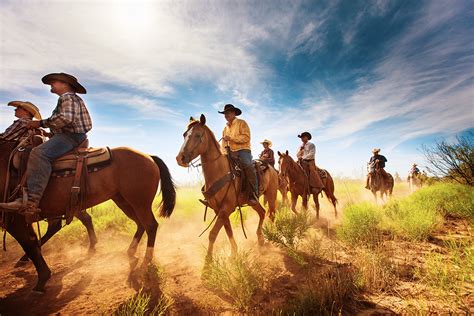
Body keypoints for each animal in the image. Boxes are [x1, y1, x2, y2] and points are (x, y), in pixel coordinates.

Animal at [0, 139, 175, 292]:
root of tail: (148, 156)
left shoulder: (14, 220)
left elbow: (29, 244)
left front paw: (42, 279)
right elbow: (32, 243)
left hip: (139, 203)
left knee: (151, 225)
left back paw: (146, 261)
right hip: (124, 201)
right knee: (140, 224)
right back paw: (130, 252)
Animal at [177, 115, 280, 260]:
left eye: (197, 135)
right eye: (184, 134)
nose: (180, 158)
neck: (219, 171)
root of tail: (270, 167)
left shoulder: (226, 208)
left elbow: (213, 233)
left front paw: (208, 262)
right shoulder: (219, 209)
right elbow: (228, 230)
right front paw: (234, 253)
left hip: (271, 194)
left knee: (271, 214)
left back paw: (270, 236)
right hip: (252, 201)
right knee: (262, 212)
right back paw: (260, 240)